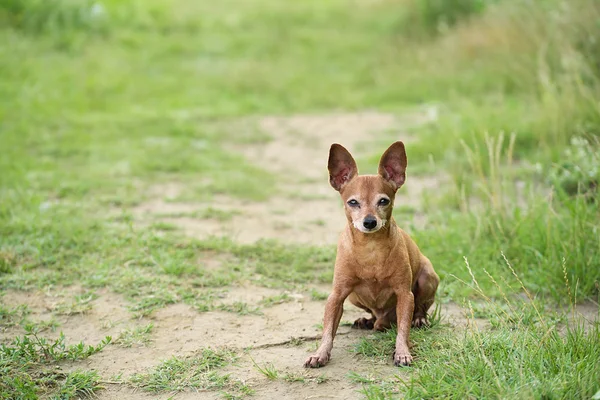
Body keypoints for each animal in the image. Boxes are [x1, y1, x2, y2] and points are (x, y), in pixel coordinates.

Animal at [304, 141, 440, 368]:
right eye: (353, 202)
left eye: (383, 201)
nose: (369, 221)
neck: (370, 248)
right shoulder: (337, 296)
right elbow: (328, 331)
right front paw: (320, 353)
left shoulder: (405, 295)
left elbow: (403, 329)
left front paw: (402, 352)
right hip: (354, 298)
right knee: (373, 314)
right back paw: (367, 321)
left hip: (428, 278)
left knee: (421, 307)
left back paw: (419, 319)